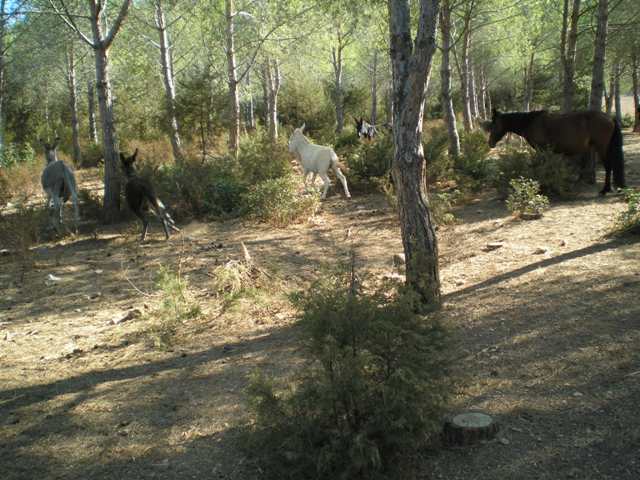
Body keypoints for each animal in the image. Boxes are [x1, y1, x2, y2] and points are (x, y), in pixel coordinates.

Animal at [480, 109, 624, 195]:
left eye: (494, 125)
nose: (490, 143)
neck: (531, 122)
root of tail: (610, 117)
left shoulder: (541, 149)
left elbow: (542, 167)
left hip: (602, 147)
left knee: (608, 166)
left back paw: (605, 189)